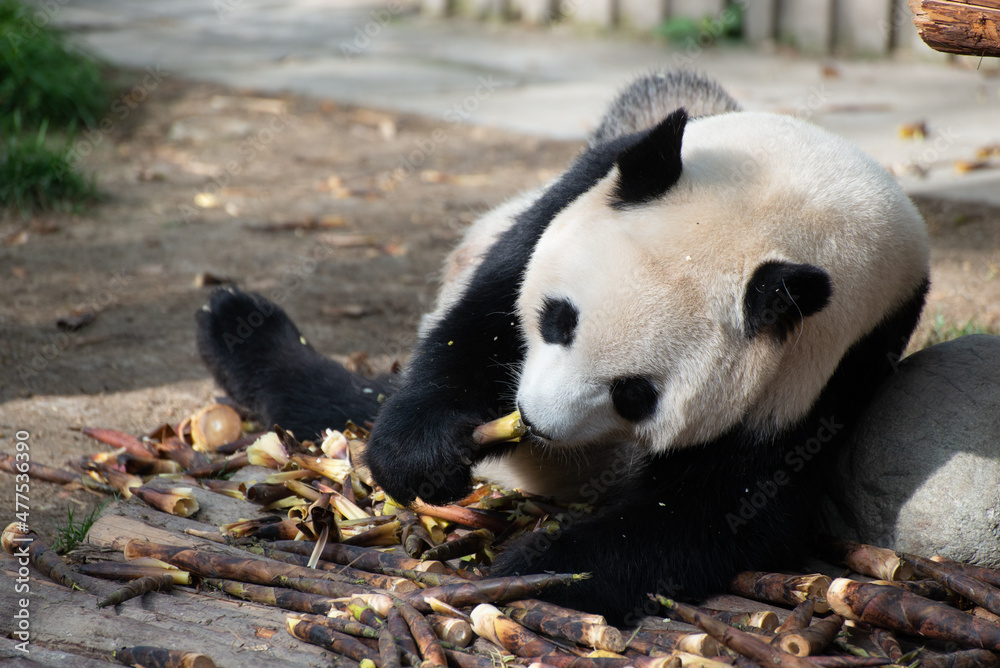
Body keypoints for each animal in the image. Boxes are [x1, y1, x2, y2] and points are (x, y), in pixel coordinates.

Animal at [197, 71, 930, 624]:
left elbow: (732, 509)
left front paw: (539, 568)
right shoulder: (583, 187)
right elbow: (480, 323)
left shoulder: (830, 363)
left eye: (636, 395)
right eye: (558, 320)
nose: (535, 423)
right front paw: (428, 455)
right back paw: (235, 321)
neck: (803, 196)